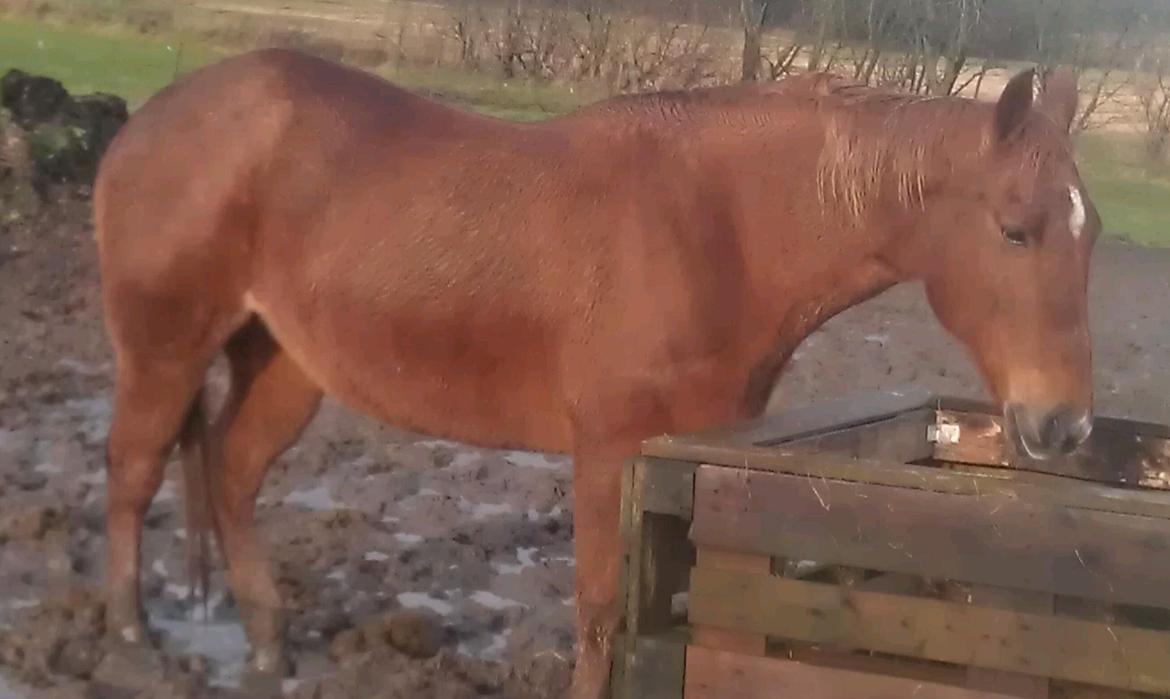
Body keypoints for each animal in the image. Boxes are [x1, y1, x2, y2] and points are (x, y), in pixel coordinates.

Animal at [93, 49, 1099, 698]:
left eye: (1084, 234)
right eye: (1015, 230)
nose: (1065, 425)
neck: (717, 227)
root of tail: (160, 116)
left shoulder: (688, 455)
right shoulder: (609, 449)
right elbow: (603, 609)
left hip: (287, 362)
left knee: (229, 472)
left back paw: (266, 646)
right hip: (165, 348)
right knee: (133, 470)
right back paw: (133, 639)